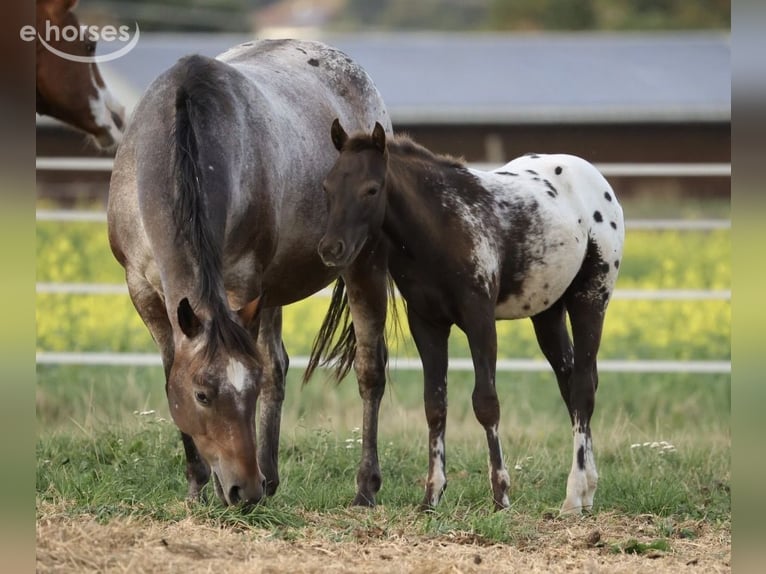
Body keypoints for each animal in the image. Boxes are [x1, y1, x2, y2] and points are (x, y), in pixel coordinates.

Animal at [107, 39, 392, 508]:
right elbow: (173, 371)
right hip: (272, 290)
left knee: (370, 367)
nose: (246, 490)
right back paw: (272, 477)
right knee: (278, 364)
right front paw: (196, 485)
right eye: (202, 395)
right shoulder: (143, 290)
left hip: (359, 264)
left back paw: (364, 487)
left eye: (248, 391)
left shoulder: (241, 282)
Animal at [318, 120, 625, 513]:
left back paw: (574, 496)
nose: (330, 249)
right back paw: (587, 490)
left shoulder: (479, 319)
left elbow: (486, 403)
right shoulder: (428, 323)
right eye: (328, 186)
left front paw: (501, 494)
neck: (443, 225)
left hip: (591, 297)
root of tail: (597, 181)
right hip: (547, 312)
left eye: (371, 189)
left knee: (584, 387)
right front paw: (431, 496)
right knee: (570, 382)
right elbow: (435, 404)